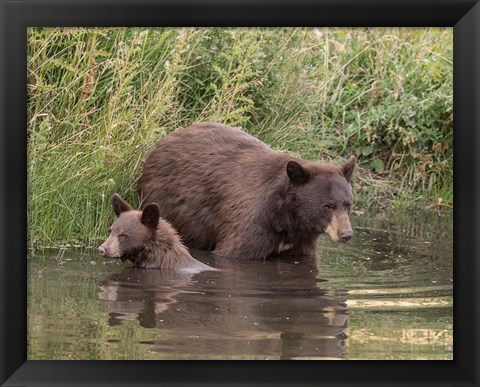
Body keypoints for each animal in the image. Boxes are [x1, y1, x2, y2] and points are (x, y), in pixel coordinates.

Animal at [137, 123, 354, 260]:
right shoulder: (252, 224)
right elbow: (235, 251)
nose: (346, 234)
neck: (287, 216)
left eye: (348, 204)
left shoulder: (301, 241)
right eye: (327, 205)